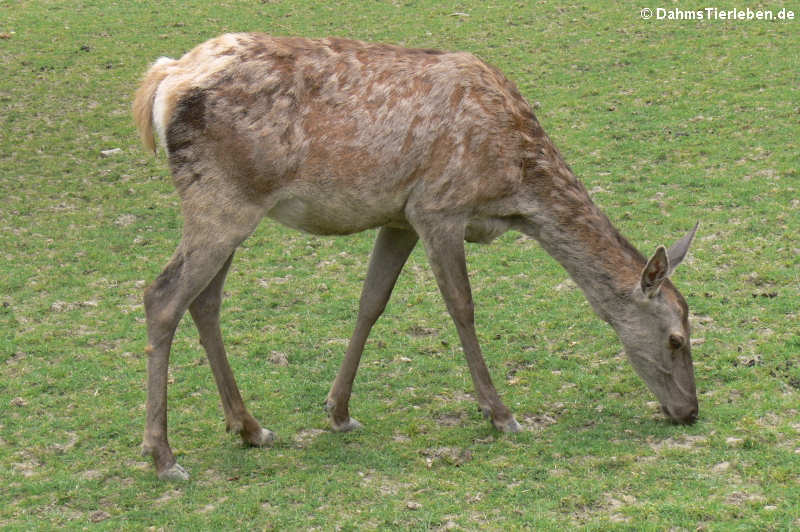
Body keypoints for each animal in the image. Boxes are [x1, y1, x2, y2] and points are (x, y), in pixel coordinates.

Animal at [134, 34, 696, 482]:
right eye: (676, 339)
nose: (690, 410)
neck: (515, 190)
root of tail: (163, 80)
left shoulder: (399, 216)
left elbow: (372, 302)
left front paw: (339, 411)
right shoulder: (438, 207)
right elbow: (462, 306)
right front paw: (501, 414)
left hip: (232, 207)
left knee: (205, 300)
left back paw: (249, 427)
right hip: (222, 198)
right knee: (162, 295)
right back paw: (164, 457)